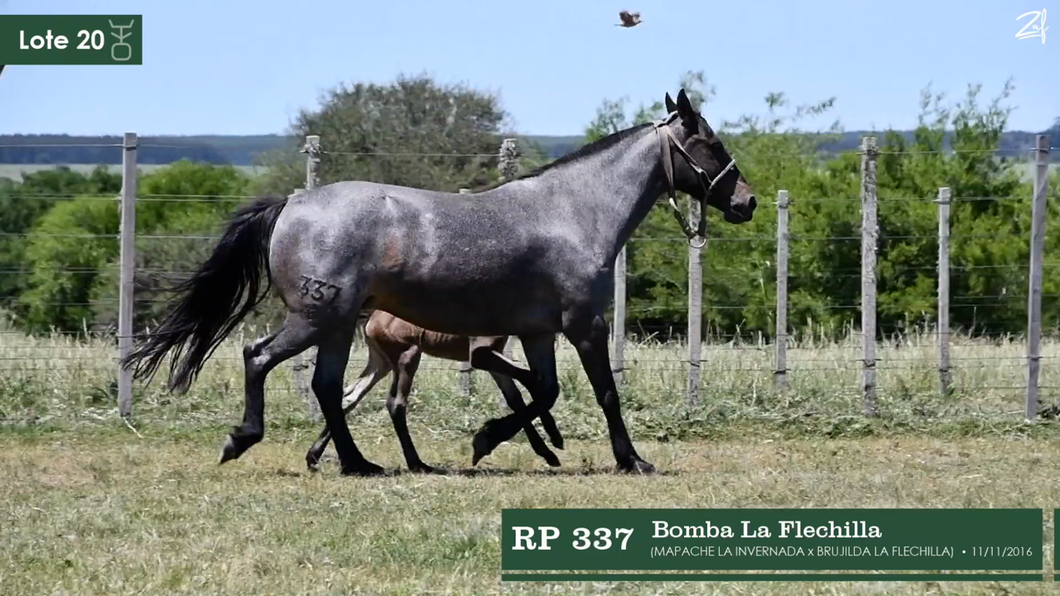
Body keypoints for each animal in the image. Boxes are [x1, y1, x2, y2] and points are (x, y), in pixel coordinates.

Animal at [121, 89, 754, 472]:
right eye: (710, 144)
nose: (745, 201)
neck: (573, 212)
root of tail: (293, 203)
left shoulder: (538, 333)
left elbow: (544, 390)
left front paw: (497, 439)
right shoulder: (584, 326)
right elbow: (601, 392)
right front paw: (630, 459)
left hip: (337, 326)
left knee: (329, 387)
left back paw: (358, 464)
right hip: (316, 318)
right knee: (259, 357)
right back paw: (245, 439)